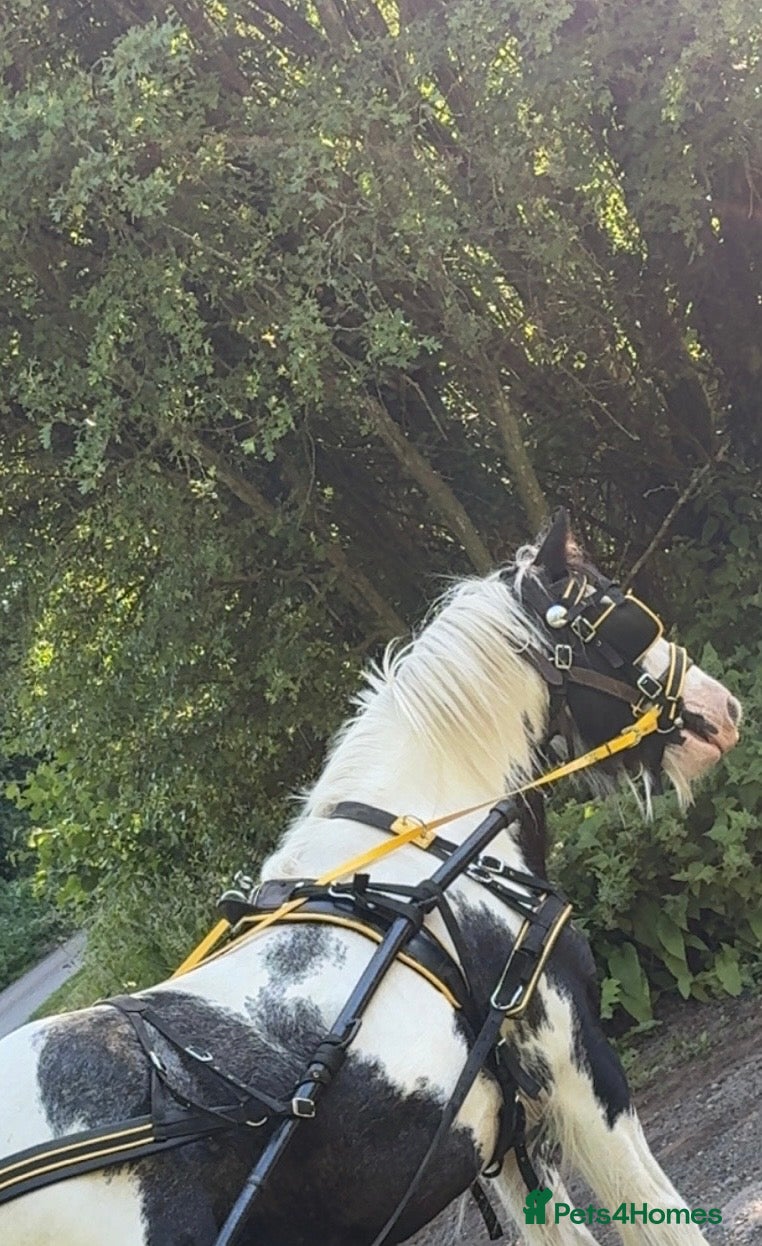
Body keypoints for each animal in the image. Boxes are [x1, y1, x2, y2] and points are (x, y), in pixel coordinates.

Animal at [0, 510, 741, 1246]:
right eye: (615, 615)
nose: (724, 708)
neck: (433, 845)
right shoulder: (579, 1076)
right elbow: (661, 1215)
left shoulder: (498, 1134)